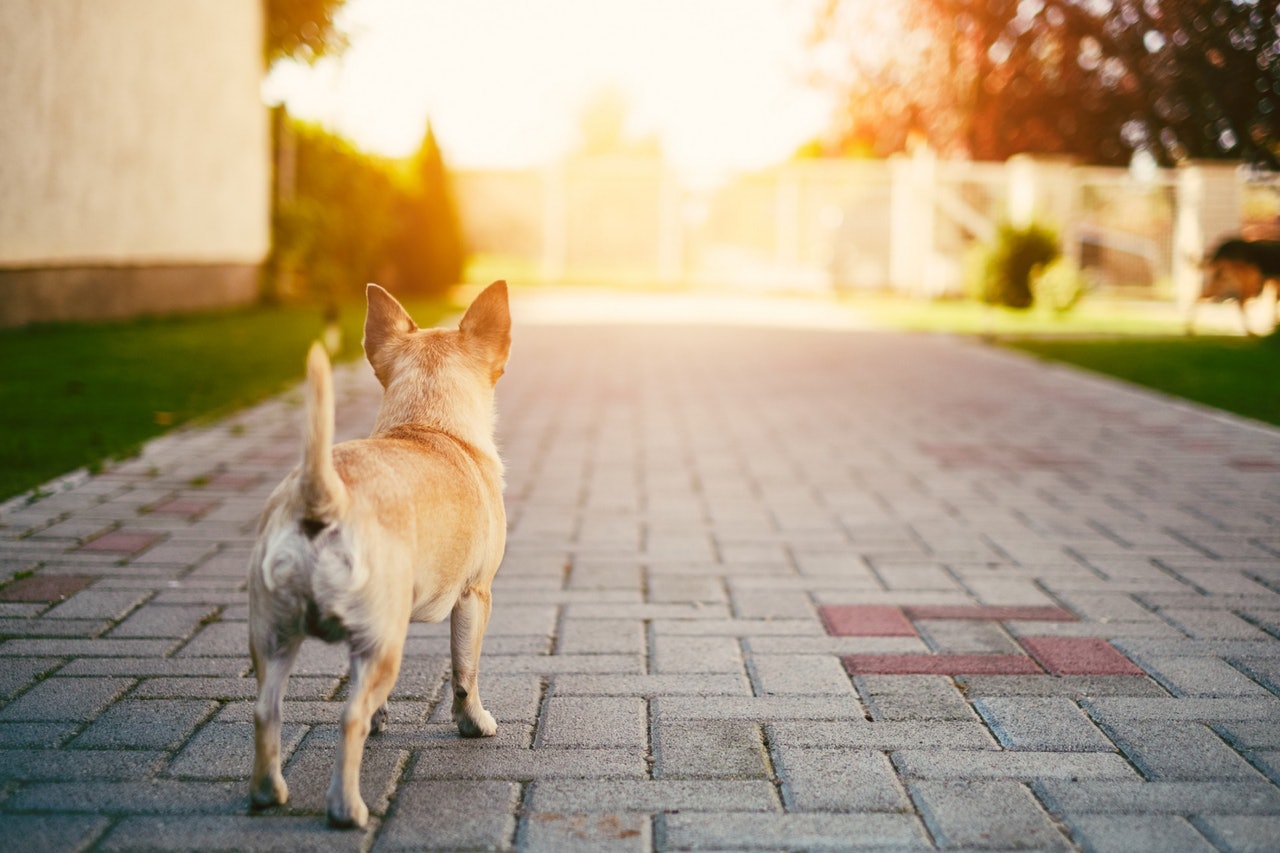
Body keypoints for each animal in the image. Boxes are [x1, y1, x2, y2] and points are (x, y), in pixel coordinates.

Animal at [249, 279, 509, 824]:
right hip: (383, 641)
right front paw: (473, 722)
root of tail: (322, 497)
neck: (428, 426)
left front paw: (385, 717)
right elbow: (465, 671)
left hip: (277, 635)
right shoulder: (475, 597)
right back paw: (347, 809)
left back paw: (267, 791)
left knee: (266, 709)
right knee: (348, 719)